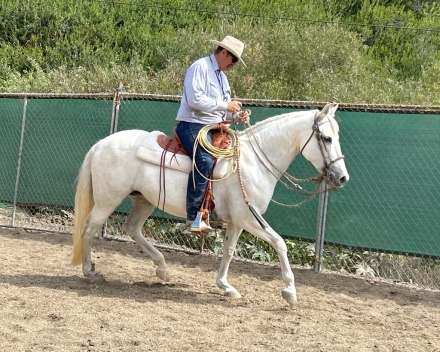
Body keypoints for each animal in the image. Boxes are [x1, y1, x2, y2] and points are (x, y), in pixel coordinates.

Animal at [71, 102, 348, 306]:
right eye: (326, 138)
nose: (342, 177)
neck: (252, 162)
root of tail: (101, 144)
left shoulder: (238, 222)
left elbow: (229, 251)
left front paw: (226, 287)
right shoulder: (249, 218)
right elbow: (280, 243)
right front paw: (290, 291)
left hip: (143, 200)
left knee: (132, 229)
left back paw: (162, 268)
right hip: (108, 200)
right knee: (89, 229)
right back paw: (89, 270)